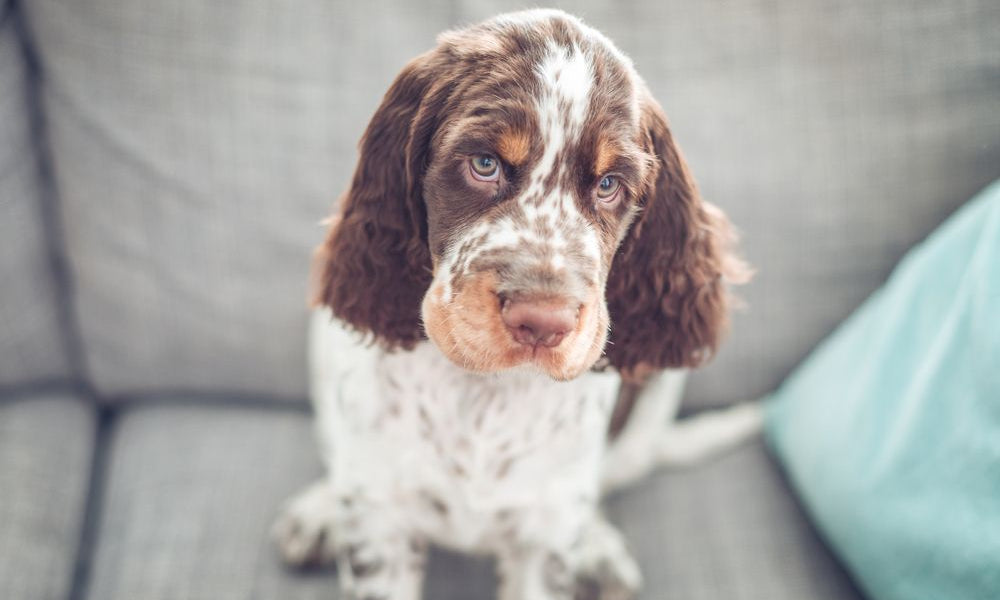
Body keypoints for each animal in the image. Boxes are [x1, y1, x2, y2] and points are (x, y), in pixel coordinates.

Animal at [274, 9, 756, 600]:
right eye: (484, 164)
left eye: (610, 185)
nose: (543, 323)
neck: (485, 393)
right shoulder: (380, 531)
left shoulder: (545, 539)